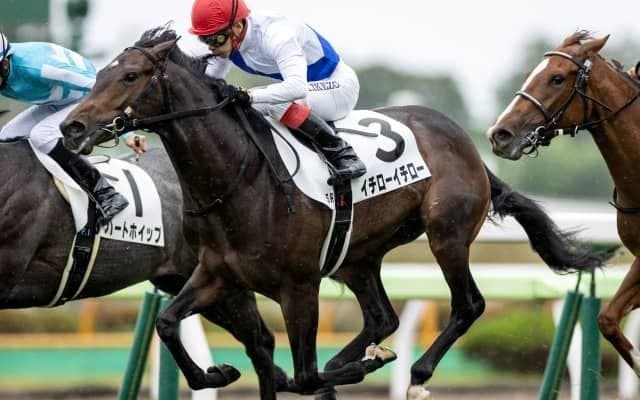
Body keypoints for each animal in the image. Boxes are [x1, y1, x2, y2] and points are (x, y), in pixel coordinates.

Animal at [60, 26, 608, 400]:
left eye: (130, 75)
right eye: (101, 73)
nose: (72, 126)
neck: (240, 179)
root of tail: (469, 144)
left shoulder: (298, 285)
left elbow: (303, 375)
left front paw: (348, 372)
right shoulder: (217, 274)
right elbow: (169, 323)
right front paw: (217, 372)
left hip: (445, 234)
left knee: (468, 304)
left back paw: (411, 372)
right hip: (356, 257)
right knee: (383, 318)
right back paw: (364, 355)